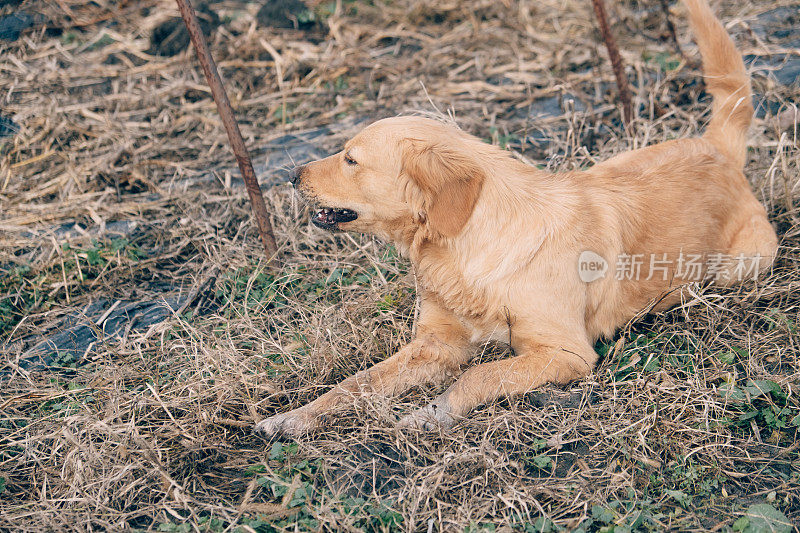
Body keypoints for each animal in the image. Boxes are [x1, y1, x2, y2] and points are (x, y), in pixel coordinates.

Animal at [255, 0, 776, 436]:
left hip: (742, 265)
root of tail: (717, 147)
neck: (464, 250)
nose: (290, 174)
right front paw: (295, 418)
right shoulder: (435, 346)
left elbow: (479, 376)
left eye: (351, 160)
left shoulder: (564, 352)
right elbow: (355, 382)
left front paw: (430, 413)